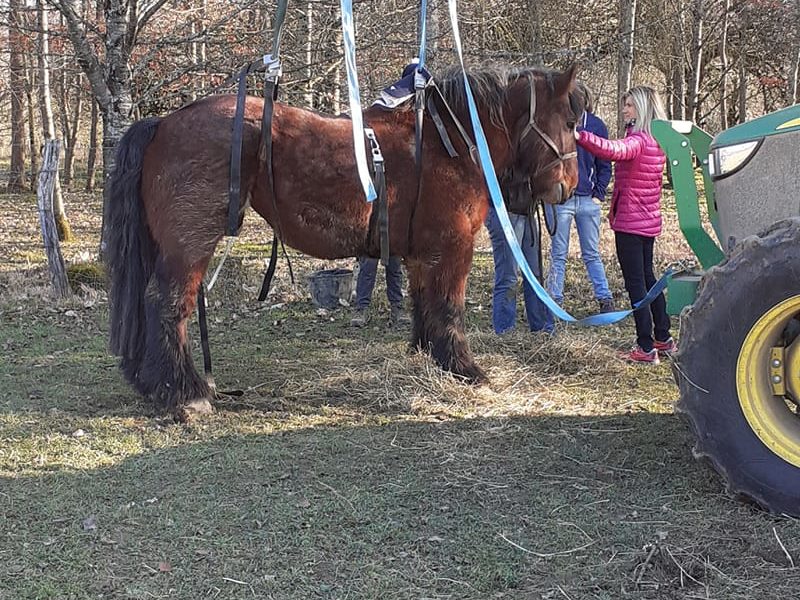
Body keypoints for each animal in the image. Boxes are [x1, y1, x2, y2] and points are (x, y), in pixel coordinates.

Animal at [106, 63, 580, 414]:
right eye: (571, 121)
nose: (571, 184)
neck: (449, 140)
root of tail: (163, 123)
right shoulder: (452, 249)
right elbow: (449, 309)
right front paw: (464, 369)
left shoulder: (422, 255)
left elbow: (424, 305)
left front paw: (429, 357)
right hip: (189, 246)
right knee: (167, 303)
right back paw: (185, 393)